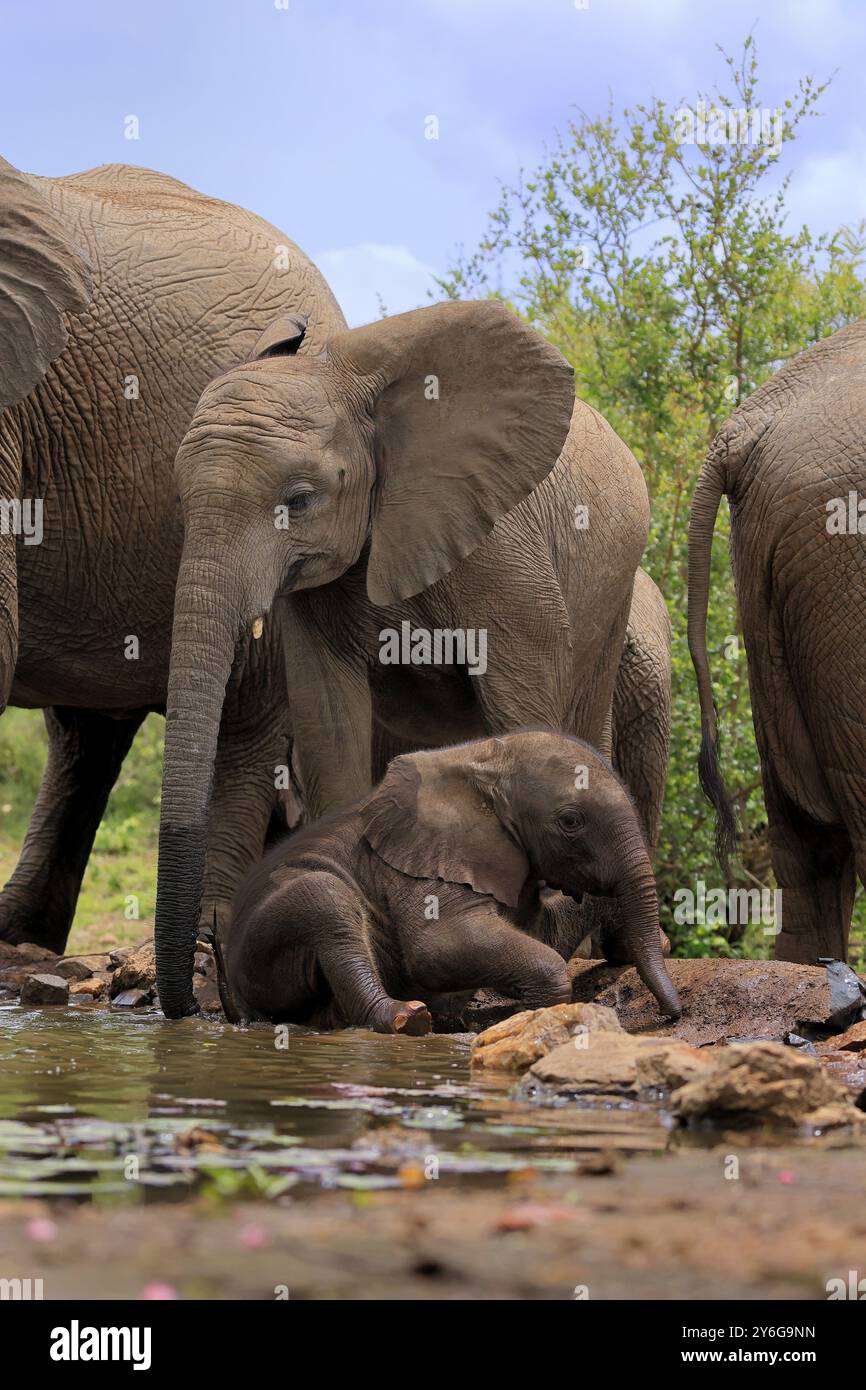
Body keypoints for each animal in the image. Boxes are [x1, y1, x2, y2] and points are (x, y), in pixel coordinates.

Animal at [159, 304, 653, 1017]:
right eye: (180, 498)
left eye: (299, 500)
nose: (199, 1001)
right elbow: (329, 719)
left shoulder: (499, 546)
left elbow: (522, 706)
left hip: (614, 589)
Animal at [216, 728, 683, 1034]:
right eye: (570, 821)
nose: (671, 1015)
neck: (482, 759)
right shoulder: (421, 866)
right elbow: (438, 948)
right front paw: (529, 1015)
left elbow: (541, 932)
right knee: (324, 896)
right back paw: (407, 1018)